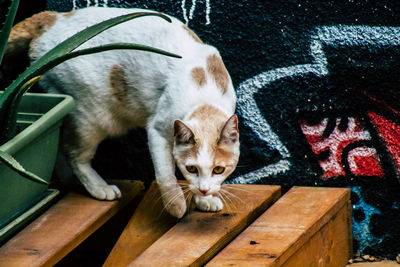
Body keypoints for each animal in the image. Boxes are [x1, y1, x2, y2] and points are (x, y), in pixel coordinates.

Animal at [6, 7, 239, 219]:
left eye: (219, 170)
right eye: (191, 168)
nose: (204, 190)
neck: (204, 93)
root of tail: (53, 17)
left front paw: (205, 199)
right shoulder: (157, 129)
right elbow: (166, 176)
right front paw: (177, 206)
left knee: (61, 150)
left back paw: (72, 182)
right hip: (92, 116)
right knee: (74, 153)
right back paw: (99, 187)